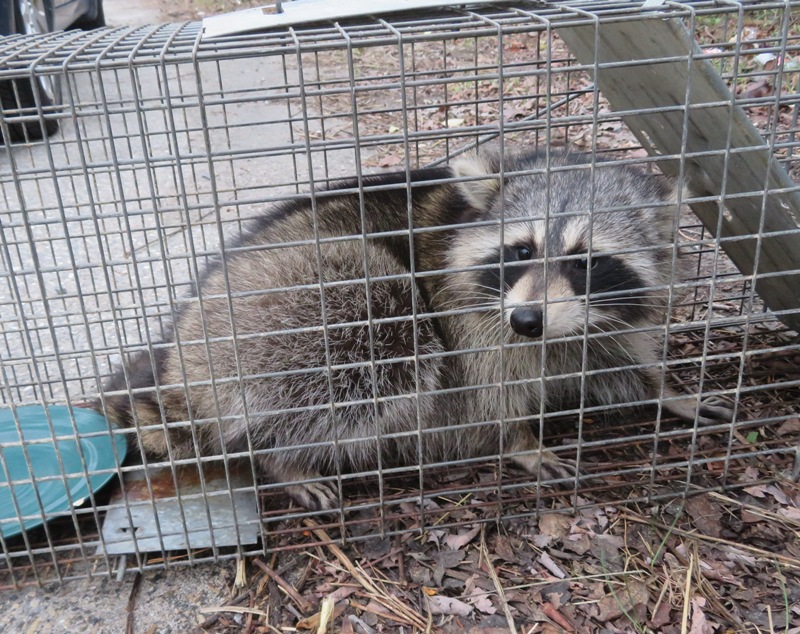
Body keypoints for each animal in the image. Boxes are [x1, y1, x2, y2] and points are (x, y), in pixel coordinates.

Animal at [100, 148, 732, 508]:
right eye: (522, 249)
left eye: (585, 262)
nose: (527, 320)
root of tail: (182, 362)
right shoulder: (474, 322)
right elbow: (485, 394)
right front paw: (519, 439)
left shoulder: (597, 323)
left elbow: (616, 358)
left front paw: (668, 391)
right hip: (295, 301)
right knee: (381, 327)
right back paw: (277, 455)